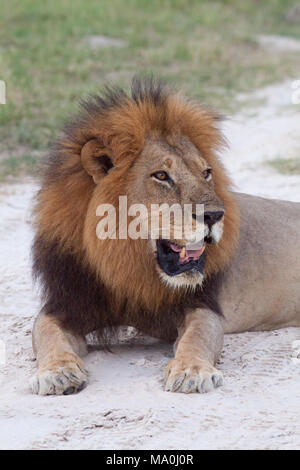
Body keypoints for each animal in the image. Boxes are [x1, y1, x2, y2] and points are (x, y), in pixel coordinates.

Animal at [30, 79, 300, 394]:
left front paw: (191, 371)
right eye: (161, 176)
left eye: (206, 172)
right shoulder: (66, 304)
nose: (214, 215)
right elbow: (45, 333)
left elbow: (197, 337)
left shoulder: (202, 305)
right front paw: (57, 372)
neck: (127, 264)